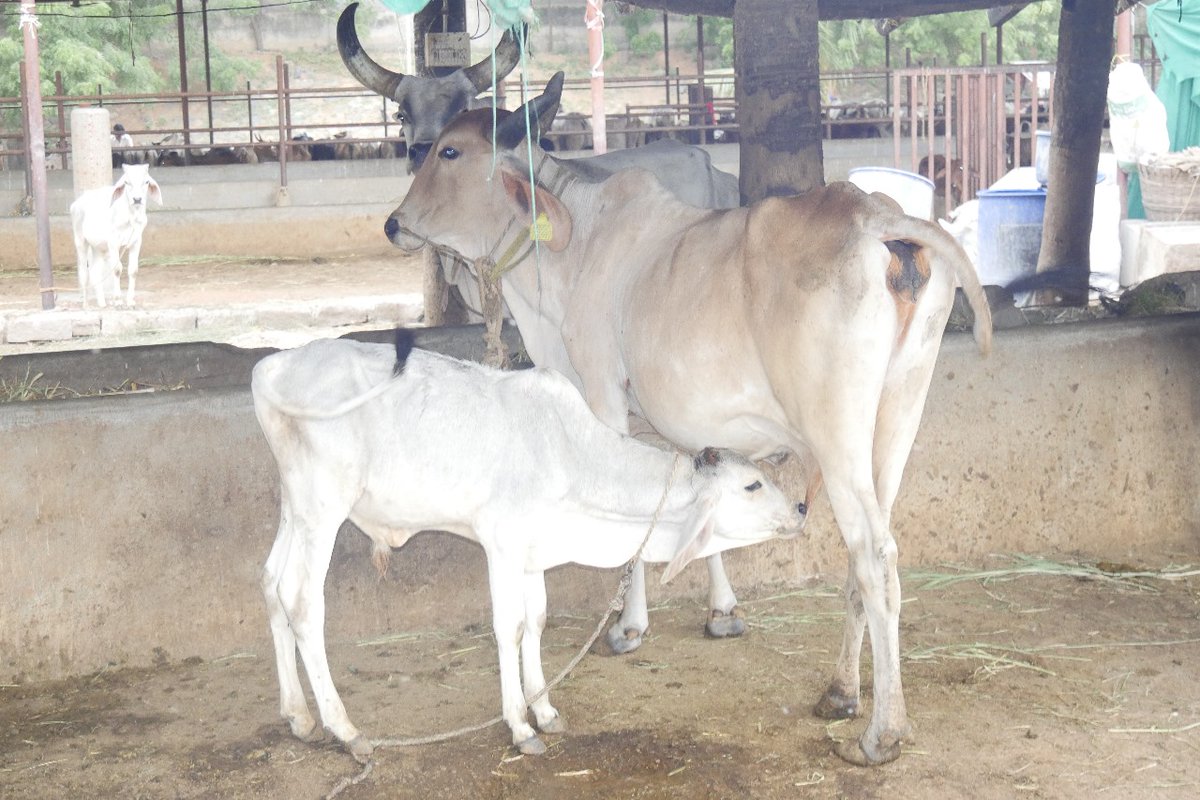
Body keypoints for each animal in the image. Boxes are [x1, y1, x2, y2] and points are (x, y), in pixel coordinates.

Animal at [69, 163, 162, 309]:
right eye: (126, 182)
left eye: (146, 182)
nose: (137, 199)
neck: (131, 217)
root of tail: (77, 203)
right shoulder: (113, 243)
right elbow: (117, 269)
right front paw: (118, 300)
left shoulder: (136, 242)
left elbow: (133, 270)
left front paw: (130, 300)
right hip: (80, 241)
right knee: (84, 273)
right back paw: (85, 304)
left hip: (98, 247)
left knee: (95, 272)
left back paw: (101, 302)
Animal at [253, 331, 805, 761]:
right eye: (753, 485)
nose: (801, 509)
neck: (571, 453)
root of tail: (274, 365)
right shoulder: (501, 543)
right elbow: (510, 628)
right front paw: (519, 725)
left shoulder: (534, 552)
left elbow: (537, 620)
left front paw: (544, 709)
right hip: (324, 508)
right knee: (302, 603)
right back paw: (345, 730)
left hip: (296, 509)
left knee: (272, 585)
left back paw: (298, 717)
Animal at [382, 76, 994, 766]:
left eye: (450, 151)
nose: (394, 223)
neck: (574, 245)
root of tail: (874, 215)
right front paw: (720, 610)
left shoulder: (603, 391)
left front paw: (629, 626)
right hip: (897, 416)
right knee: (873, 550)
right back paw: (840, 690)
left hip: (836, 431)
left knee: (875, 554)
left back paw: (881, 731)